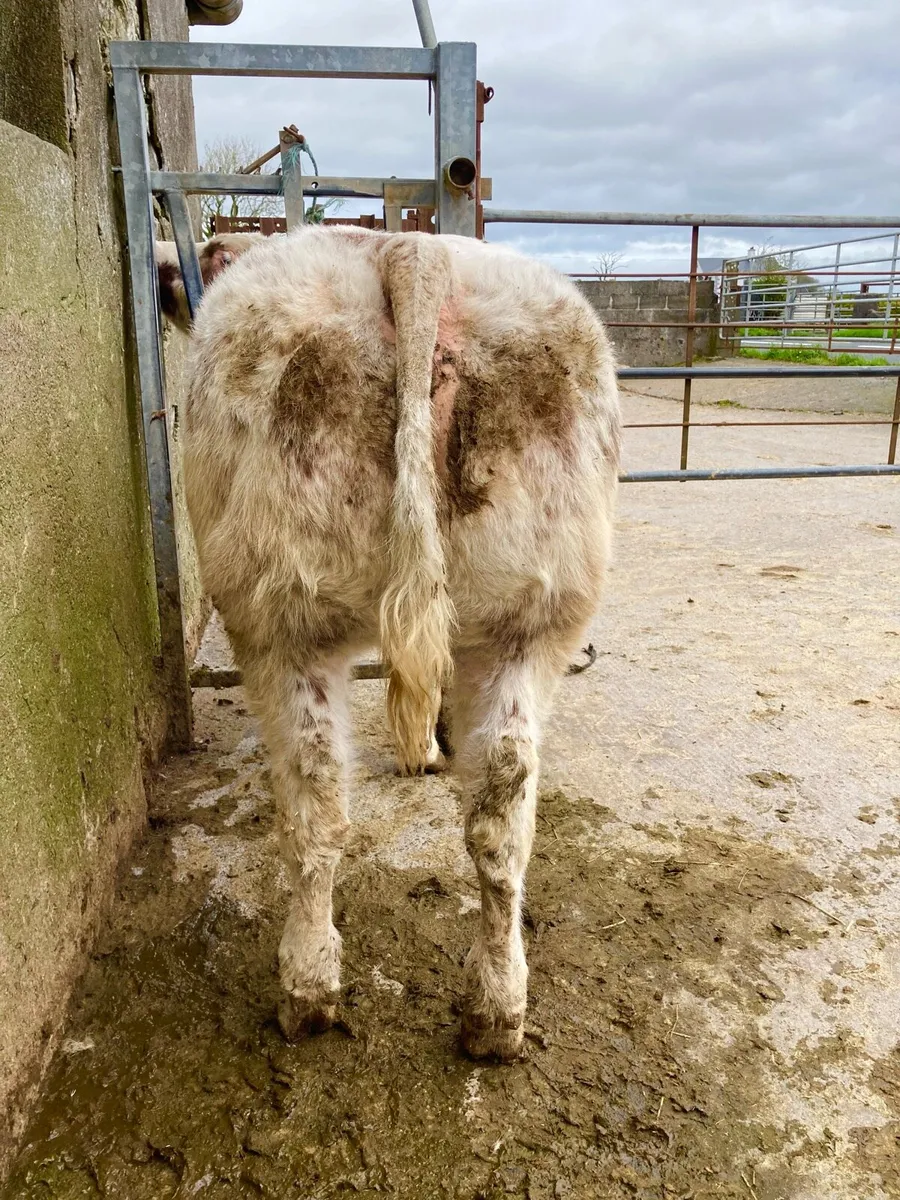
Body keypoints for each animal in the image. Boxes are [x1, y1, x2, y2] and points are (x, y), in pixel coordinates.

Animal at [157, 227, 621, 1061]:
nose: (155, 265)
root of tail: (408, 249)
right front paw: (435, 746)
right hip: (530, 621)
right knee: (503, 812)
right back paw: (497, 1012)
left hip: (281, 616)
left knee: (314, 804)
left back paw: (308, 989)